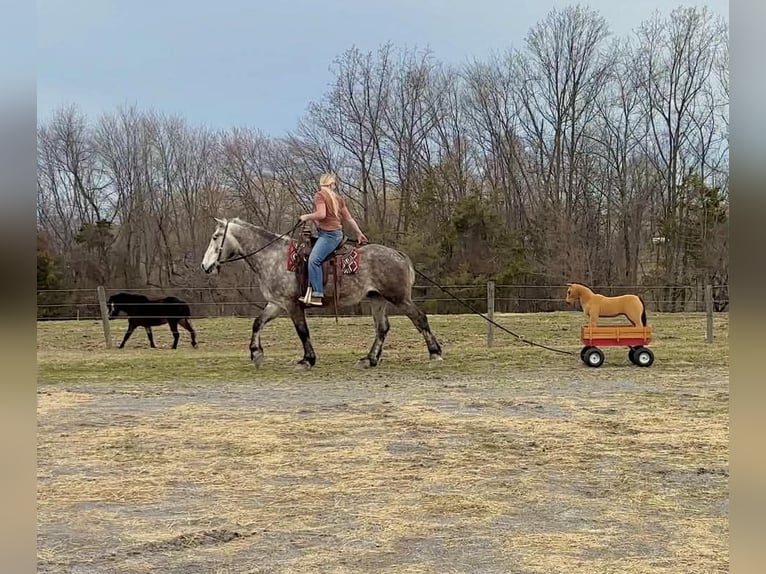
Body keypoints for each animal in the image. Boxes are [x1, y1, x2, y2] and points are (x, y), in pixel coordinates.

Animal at [199, 217, 442, 369]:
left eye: (215, 237)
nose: (205, 266)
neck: (273, 257)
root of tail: (399, 255)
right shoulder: (276, 304)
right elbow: (257, 323)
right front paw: (256, 354)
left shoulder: (292, 304)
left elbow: (302, 331)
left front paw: (307, 359)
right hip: (377, 299)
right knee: (382, 328)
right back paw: (369, 359)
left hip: (399, 298)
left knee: (420, 319)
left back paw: (435, 353)